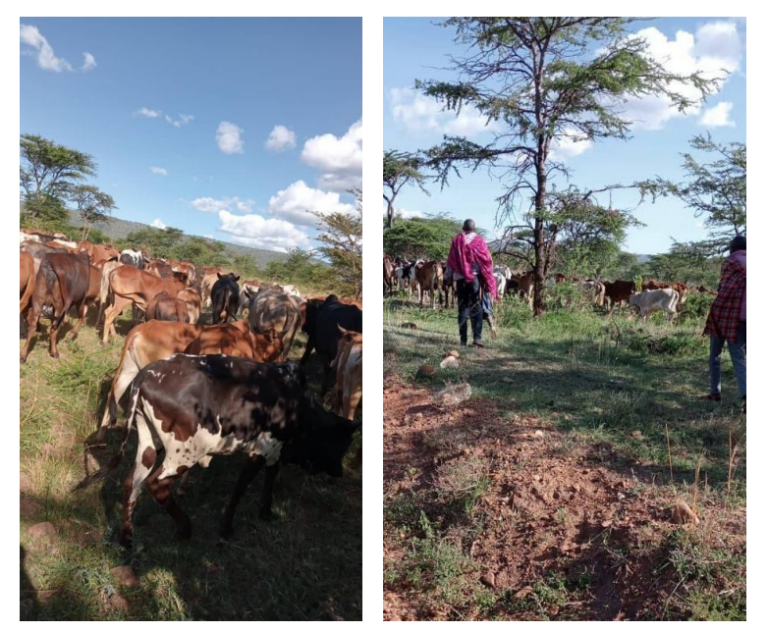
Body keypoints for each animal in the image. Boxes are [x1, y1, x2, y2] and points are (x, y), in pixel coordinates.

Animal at [76, 356, 358, 548]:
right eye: (342, 444)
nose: (339, 472)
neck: (296, 402)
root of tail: (145, 374)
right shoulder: (261, 449)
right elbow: (241, 488)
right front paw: (227, 527)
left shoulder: (275, 450)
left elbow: (271, 477)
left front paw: (266, 512)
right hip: (184, 452)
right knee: (157, 484)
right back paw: (185, 529)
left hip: (148, 441)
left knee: (132, 483)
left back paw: (126, 539)